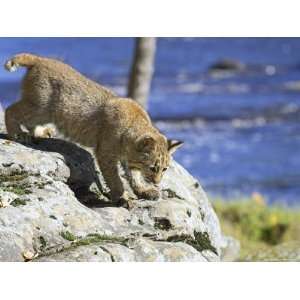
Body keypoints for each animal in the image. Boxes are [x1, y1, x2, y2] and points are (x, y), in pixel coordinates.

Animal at [4, 52, 183, 205]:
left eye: (165, 169)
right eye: (153, 168)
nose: (157, 182)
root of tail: (41, 59)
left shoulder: (125, 158)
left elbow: (135, 175)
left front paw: (143, 190)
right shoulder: (105, 154)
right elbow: (114, 178)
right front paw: (122, 197)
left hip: (44, 112)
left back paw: (39, 133)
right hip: (42, 108)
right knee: (10, 110)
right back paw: (17, 134)